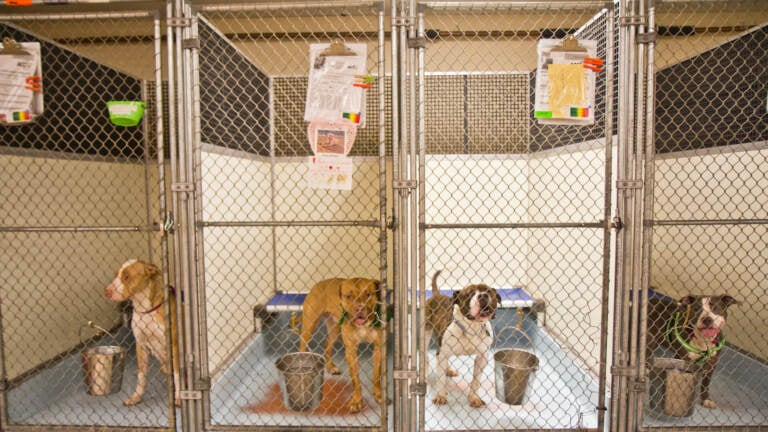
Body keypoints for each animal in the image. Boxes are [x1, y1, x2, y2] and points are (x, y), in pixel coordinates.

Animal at [103, 260, 180, 408]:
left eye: (126, 276)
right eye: (116, 275)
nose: (107, 291)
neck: (145, 309)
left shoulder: (174, 345)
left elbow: (177, 373)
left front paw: (179, 397)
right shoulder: (141, 346)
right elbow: (141, 376)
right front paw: (136, 396)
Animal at [296, 278, 388, 414]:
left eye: (368, 294)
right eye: (348, 296)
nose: (359, 308)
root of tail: (320, 283)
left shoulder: (378, 348)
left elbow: (376, 376)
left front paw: (378, 395)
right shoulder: (351, 351)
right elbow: (355, 379)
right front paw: (356, 401)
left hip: (334, 328)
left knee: (327, 345)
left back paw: (330, 367)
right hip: (309, 325)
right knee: (302, 347)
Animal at [436, 280, 500, 408]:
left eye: (488, 291)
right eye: (469, 294)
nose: (483, 296)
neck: (472, 327)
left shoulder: (482, 357)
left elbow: (476, 381)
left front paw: (474, 398)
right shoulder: (443, 352)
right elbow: (440, 379)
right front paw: (440, 395)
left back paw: (448, 370)